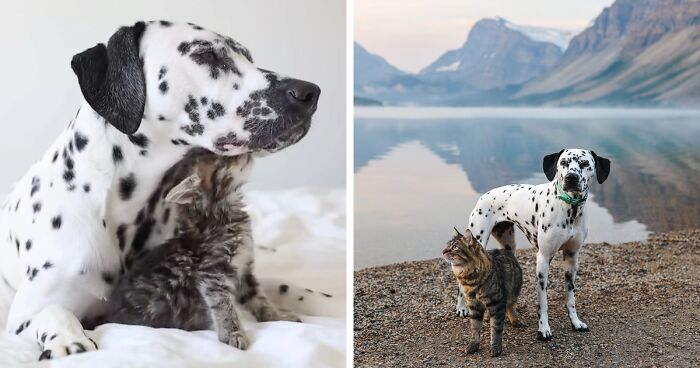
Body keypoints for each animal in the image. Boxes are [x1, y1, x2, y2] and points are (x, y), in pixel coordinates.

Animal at [104, 150, 300, 348]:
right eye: (223, 161)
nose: (245, 152)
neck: (221, 217)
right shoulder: (212, 274)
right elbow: (223, 306)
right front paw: (232, 333)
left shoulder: (244, 272)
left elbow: (259, 300)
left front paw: (278, 316)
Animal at [440, 227, 524, 356]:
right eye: (448, 245)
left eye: (454, 247)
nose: (443, 251)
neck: (469, 280)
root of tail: (505, 250)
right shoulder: (474, 305)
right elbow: (475, 328)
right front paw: (473, 346)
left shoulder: (497, 303)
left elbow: (496, 328)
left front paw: (495, 348)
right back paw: (487, 317)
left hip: (513, 292)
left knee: (510, 305)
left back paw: (514, 320)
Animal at [456, 148, 608, 340]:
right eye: (563, 163)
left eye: (585, 163)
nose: (571, 177)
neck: (570, 208)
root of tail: (484, 195)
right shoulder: (543, 259)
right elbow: (543, 303)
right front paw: (543, 329)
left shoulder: (572, 258)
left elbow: (570, 297)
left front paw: (575, 322)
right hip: (478, 238)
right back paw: (461, 307)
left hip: (508, 245)